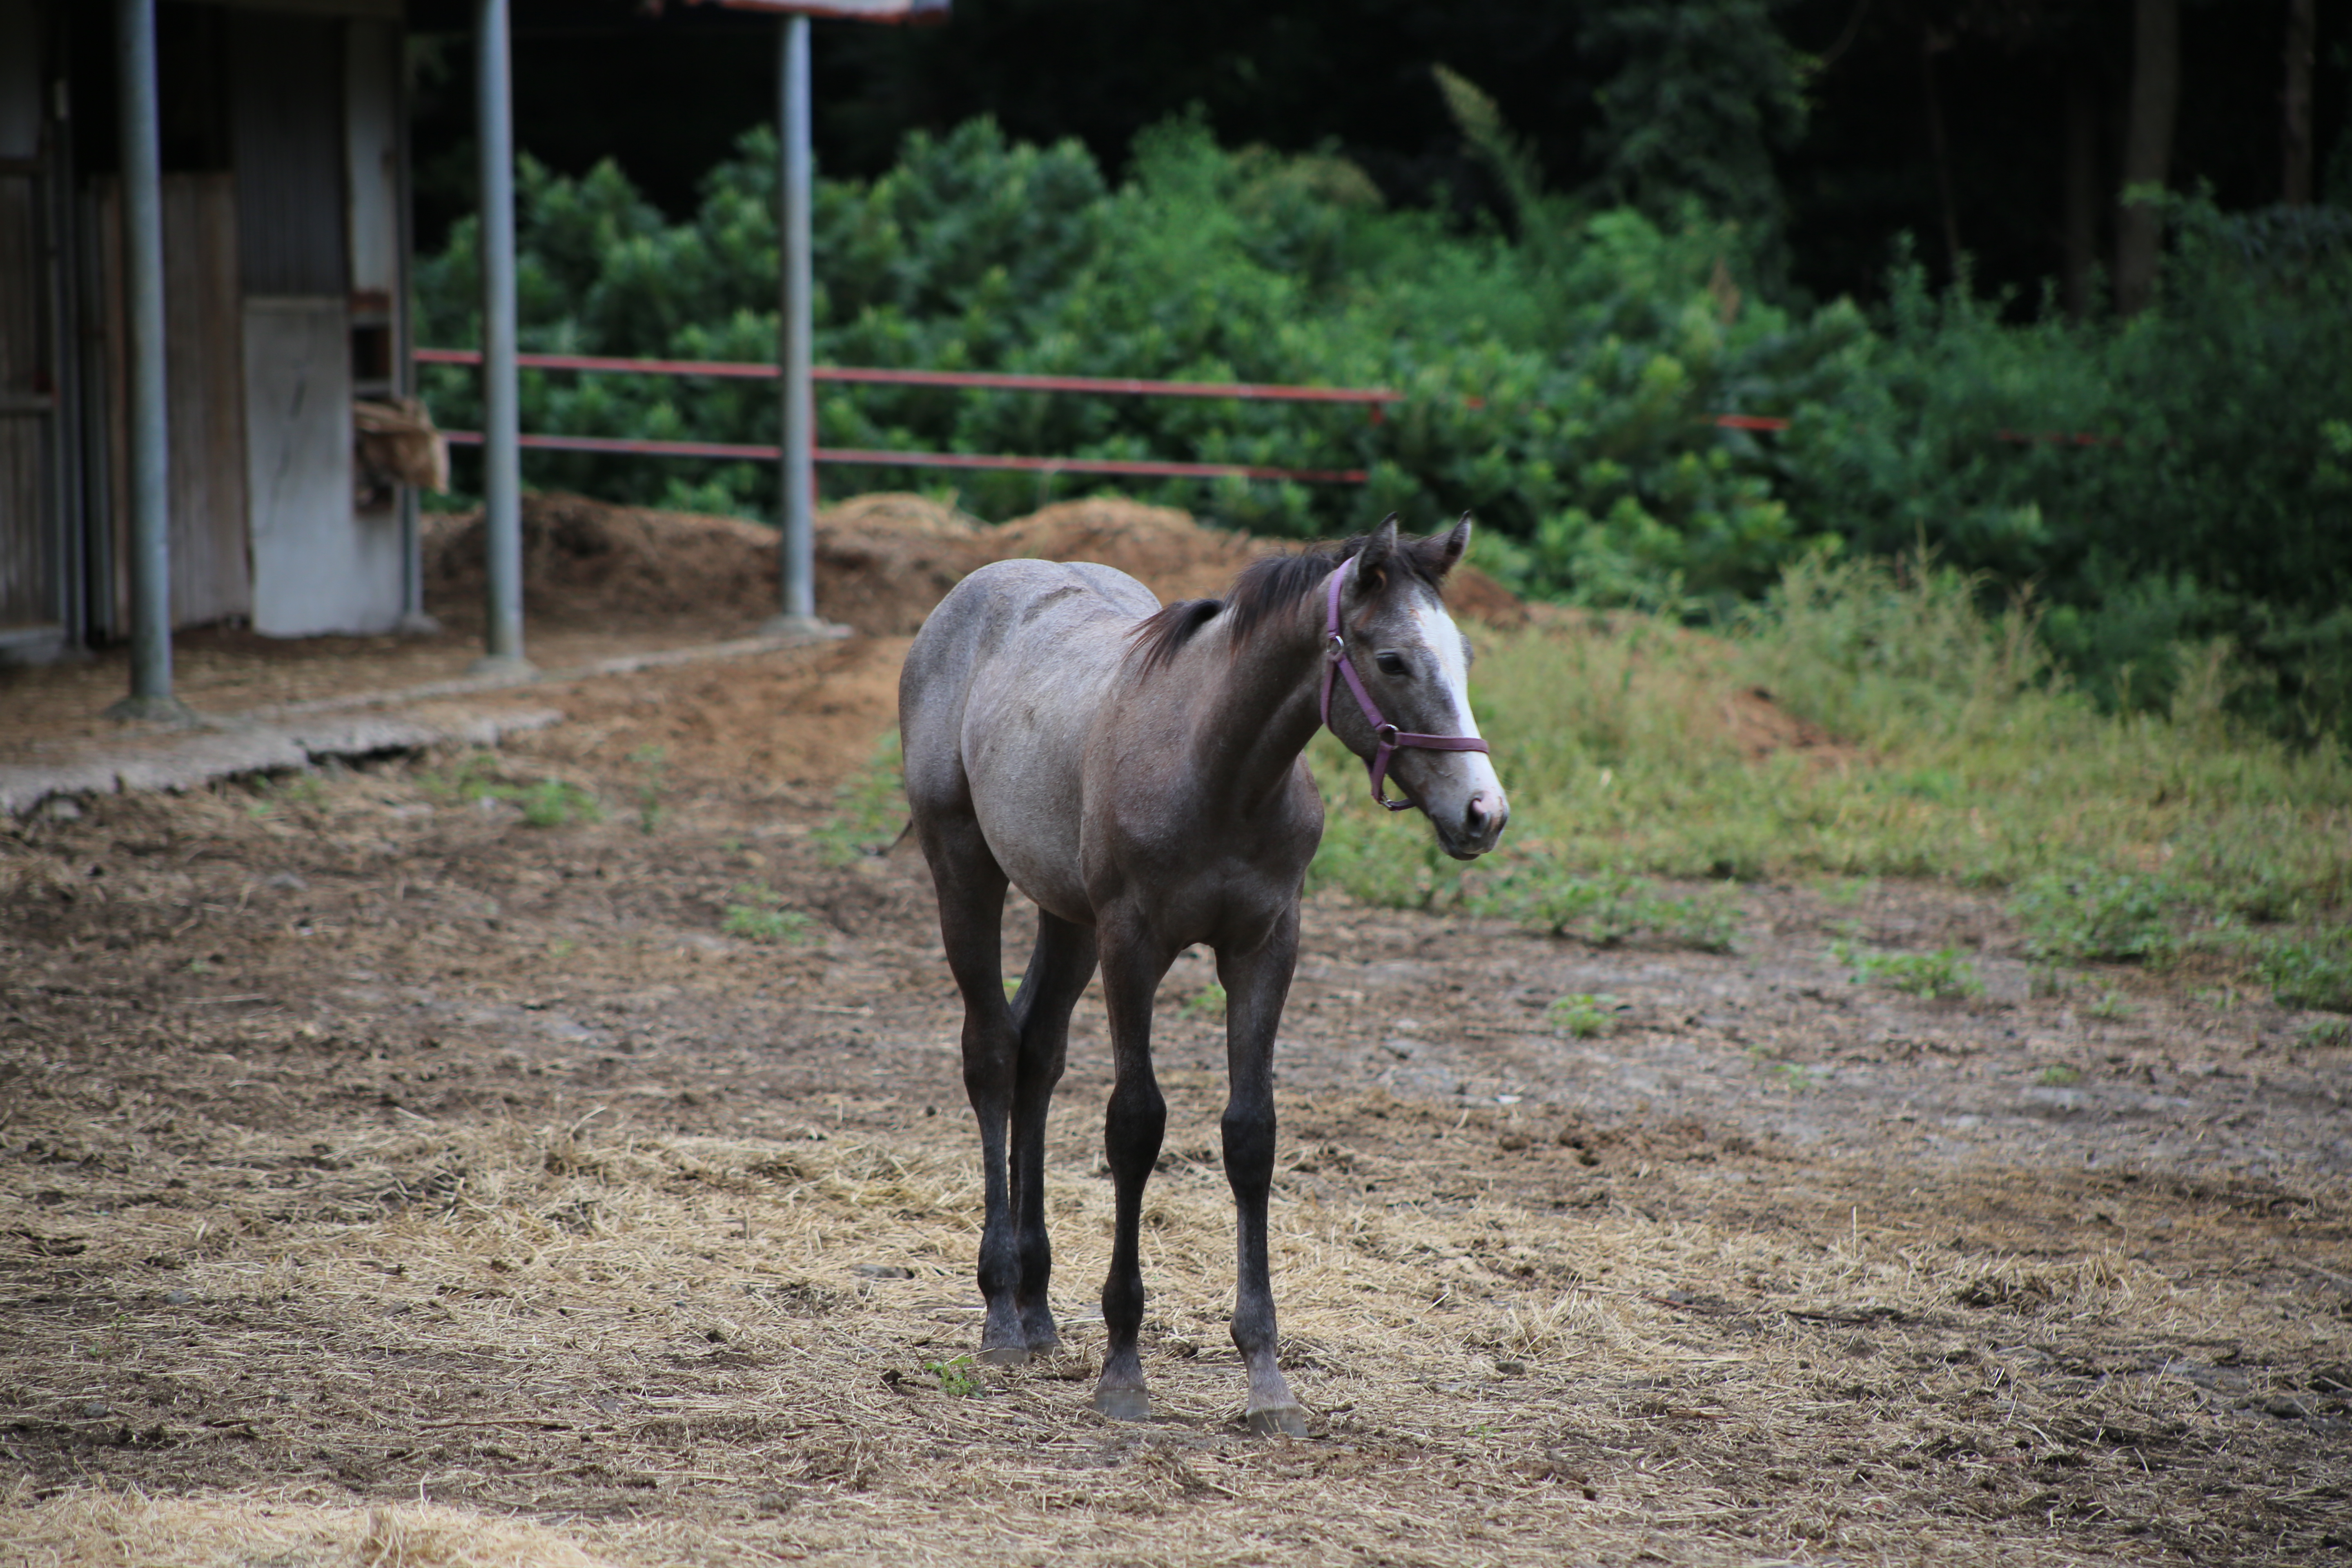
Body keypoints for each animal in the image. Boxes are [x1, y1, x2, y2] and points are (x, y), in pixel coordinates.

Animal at [898, 517, 1505, 1439]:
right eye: (1394, 660)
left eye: (1465, 655)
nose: (1483, 814)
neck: (1219, 768)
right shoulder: (1134, 944)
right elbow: (1135, 1126)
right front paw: (1123, 1369)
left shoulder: (1265, 946)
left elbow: (1250, 1135)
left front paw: (1266, 1379)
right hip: (965, 868)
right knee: (994, 1055)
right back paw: (1002, 1314)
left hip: (1066, 914)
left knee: (1039, 1054)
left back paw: (1039, 1313)